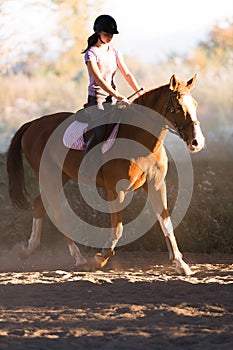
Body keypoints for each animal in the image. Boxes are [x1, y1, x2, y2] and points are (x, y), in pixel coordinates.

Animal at [6, 75, 204, 274]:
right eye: (178, 107)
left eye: (195, 104)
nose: (197, 142)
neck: (141, 141)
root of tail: (33, 124)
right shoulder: (115, 191)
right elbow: (118, 229)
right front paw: (99, 259)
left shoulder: (156, 185)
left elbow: (166, 222)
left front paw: (181, 264)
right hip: (49, 175)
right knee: (56, 211)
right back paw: (80, 259)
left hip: (60, 176)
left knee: (40, 203)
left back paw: (28, 249)